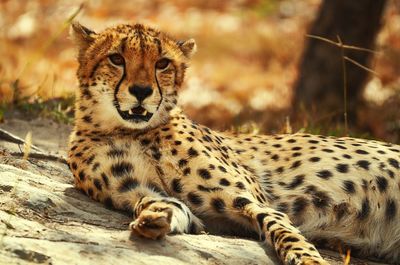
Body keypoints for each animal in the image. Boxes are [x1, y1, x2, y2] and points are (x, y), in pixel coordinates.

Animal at [69, 22, 400, 264]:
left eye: (162, 64)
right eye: (116, 59)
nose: (141, 91)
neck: (126, 130)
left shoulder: (250, 200)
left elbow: (282, 228)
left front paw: (307, 259)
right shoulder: (147, 194)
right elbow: (166, 206)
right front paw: (155, 217)